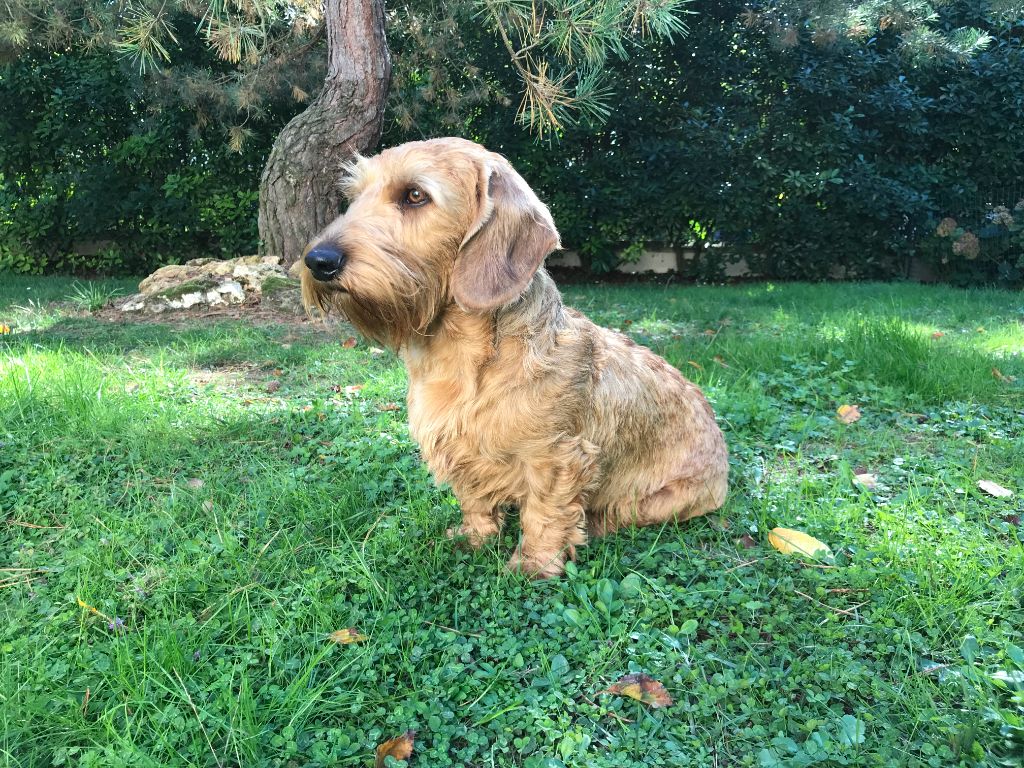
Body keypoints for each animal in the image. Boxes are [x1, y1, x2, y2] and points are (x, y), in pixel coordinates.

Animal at [301, 138, 729, 577]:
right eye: (354, 197)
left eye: (415, 195)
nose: (318, 261)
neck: (464, 360)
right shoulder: (461, 450)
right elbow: (474, 502)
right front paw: (474, 538)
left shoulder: (555, 459)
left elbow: (544, 514)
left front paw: (534, 565)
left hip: (663, 500)